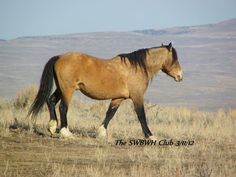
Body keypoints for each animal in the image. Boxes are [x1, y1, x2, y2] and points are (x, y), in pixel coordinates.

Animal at [27, 42, 183, 139]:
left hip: (61, 89)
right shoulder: (137, 96)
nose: (180, 76)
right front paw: (151, 136)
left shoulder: (118, 98)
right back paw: (66, 132)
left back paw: (52, 127)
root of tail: (59, 57)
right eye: (175, 59)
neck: (135, 68)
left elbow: (110, 113)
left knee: (51, 101)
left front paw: (101, 133)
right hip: (67, 90)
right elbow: (141, 116)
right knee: (63, 107)